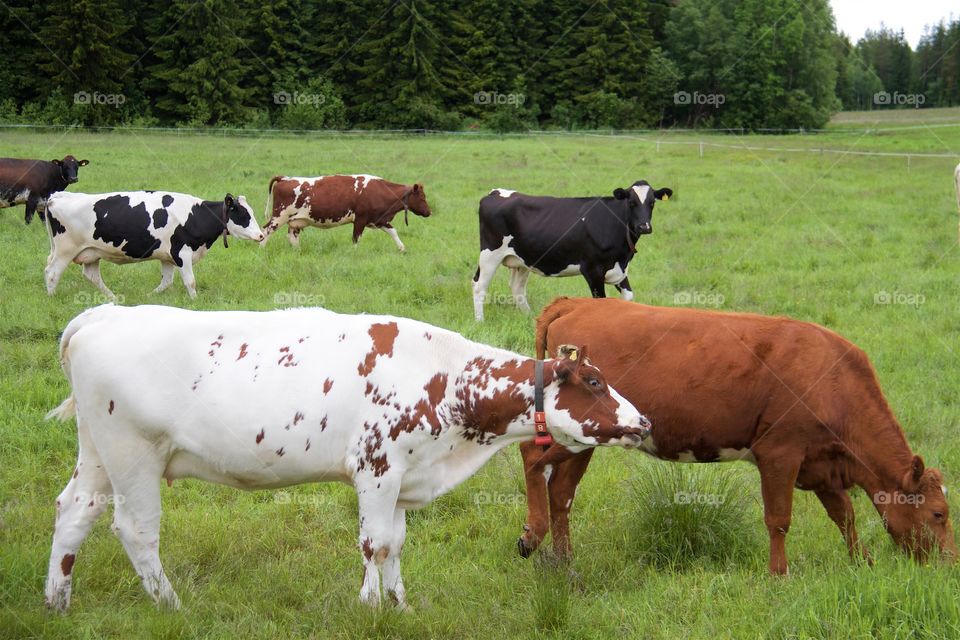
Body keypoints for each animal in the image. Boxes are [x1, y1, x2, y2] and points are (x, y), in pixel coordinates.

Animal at [41, 304, 648, 608]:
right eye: (594, 381)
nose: (643, 421)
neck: (446, 379)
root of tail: (104, 314)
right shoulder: (376, 468)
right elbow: (374, 544)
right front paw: (370, 605)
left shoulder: (405, 474)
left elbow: (395, 544)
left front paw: (400, 605)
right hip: (133, 452)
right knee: (136, 530)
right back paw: (170, 604)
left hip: (98, 451)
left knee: (74, 511)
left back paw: (57, 600)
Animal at [45, 190, 262, 300]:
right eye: (244, 215)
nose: (261, 235)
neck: (195, 215)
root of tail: (59, 196)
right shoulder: (181, 252)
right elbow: (190, 281)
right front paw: (195, 302)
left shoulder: (168, 257)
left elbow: (166, 282)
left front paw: (148, 296)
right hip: (66, 250)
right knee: (52, 273)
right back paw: (52, 297)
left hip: (91, 252)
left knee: (91, 276)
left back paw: (113, 298)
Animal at [258, 174, 432, 251]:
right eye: (422, 197)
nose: (429, 212)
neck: (380, 191)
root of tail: (285, 178)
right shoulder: (360, 219)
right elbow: (356, 238)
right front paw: (354, 254)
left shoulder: (379, 219)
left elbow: (393, 232)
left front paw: (402, 248)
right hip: (279, 216)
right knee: (266, 231)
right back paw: (262, 249)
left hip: (295, 221)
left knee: (292, 236)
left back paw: (297, 251)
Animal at [470, 179, 668, 320]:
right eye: (631, 202)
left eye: (652, 203)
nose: (644, 227)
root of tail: (495, 192)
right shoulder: (593, 270)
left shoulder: (619, 269)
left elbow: (629, 297)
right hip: (489, 254)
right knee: (479, 286)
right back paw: (480, 321)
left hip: (522, 260)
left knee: (517, 288)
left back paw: (530, 318)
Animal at [516, 298, 952, 576]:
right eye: (938, 514)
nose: (951, 563)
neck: (834, 381)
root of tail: (576, 302)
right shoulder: (780, 453)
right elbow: (779, 519)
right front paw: (779, 574)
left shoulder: (821, 464)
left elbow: (844, 515)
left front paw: (863, 562)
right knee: (531, 456)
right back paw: (532, 536)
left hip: (582, 442)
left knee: (562, 492)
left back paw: (564, 561)